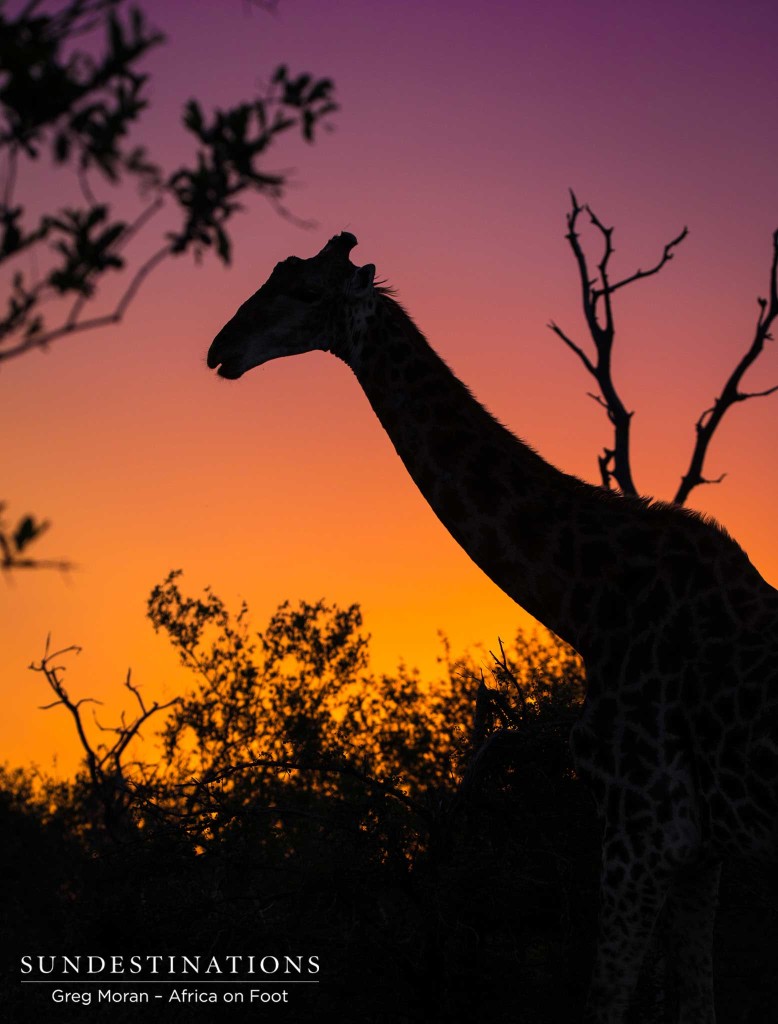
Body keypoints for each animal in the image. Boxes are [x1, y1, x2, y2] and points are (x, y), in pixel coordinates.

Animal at [206, 234, 778, 1024]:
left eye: (304, 292)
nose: (220, 349)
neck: (588, 601)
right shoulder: (700, 850)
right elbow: (694, 1004)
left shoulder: (645, 826)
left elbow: (604, 1000)